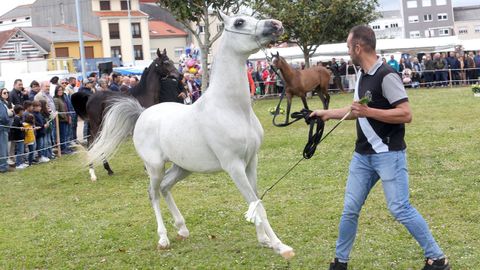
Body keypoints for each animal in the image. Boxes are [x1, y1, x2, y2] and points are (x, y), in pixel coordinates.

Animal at [72, 48, 181, 181]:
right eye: (165, 62)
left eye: (171, 61)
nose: (179, 75)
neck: (144, 95)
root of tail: (90, 97)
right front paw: (148, 170)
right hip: (95, 125)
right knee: (91, 143)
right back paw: (93, 173)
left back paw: (108, 169)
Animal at [88, 13, 294, 260]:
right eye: (239, 22)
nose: (277, 25)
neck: (232, 109)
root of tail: (142, 114)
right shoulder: (233, 166)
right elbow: (257, 204)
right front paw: (281, 246)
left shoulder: (251, 161)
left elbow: (256, 201)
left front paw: (264, 240)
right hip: (155, 167)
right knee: (153, 193)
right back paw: (163, 239)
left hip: (182, 167)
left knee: (165, 187)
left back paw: (182, 228)